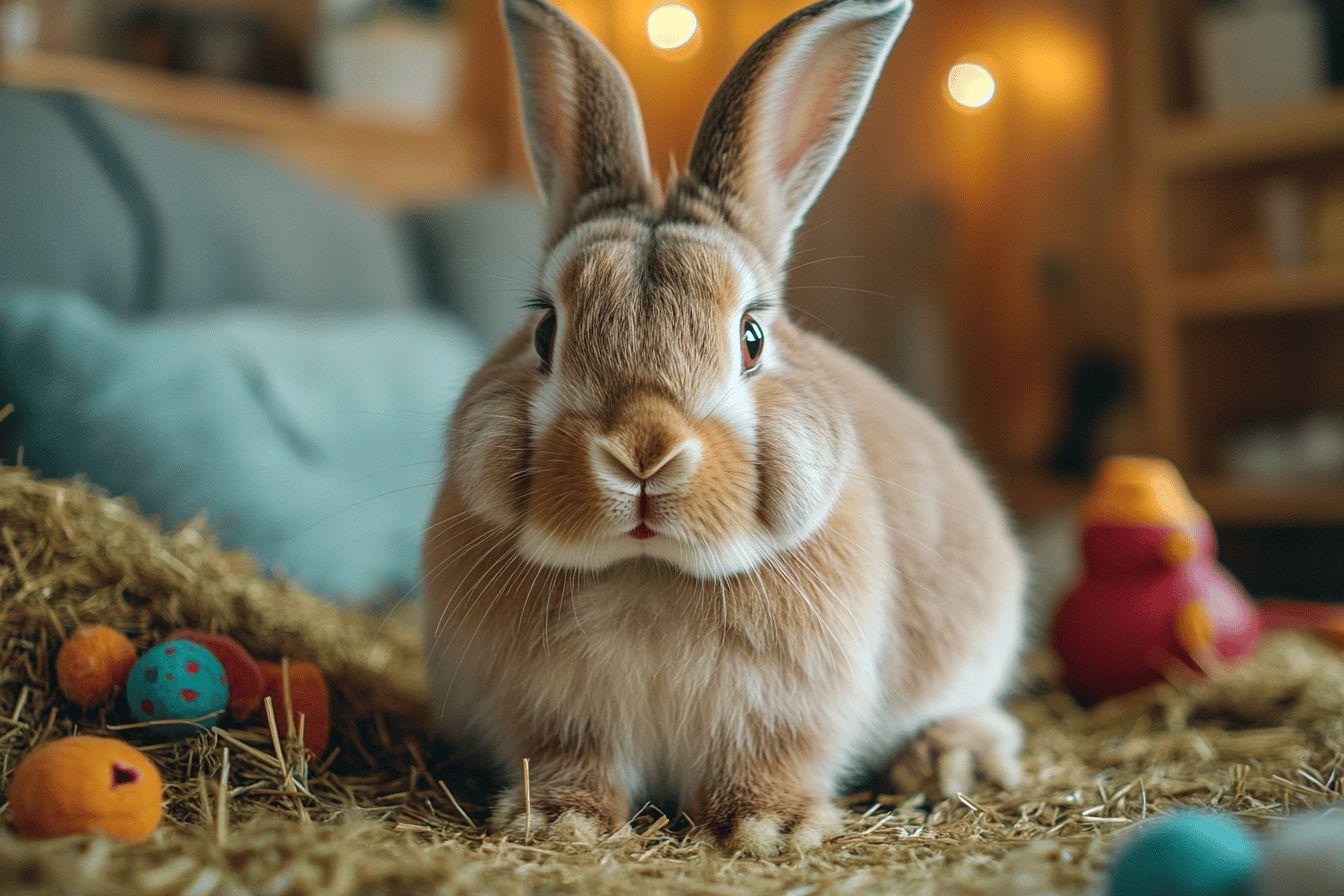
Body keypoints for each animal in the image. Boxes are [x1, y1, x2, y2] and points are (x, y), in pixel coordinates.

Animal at [423, 0, 1025, 856]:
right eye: (544, 332)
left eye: (752, 337)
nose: (643, 452)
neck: (648, 573)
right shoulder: (551, 718)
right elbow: (571, 761)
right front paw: (557, 821)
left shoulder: (785, 713)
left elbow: (769, 762)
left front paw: (769, 827)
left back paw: (951, 762)